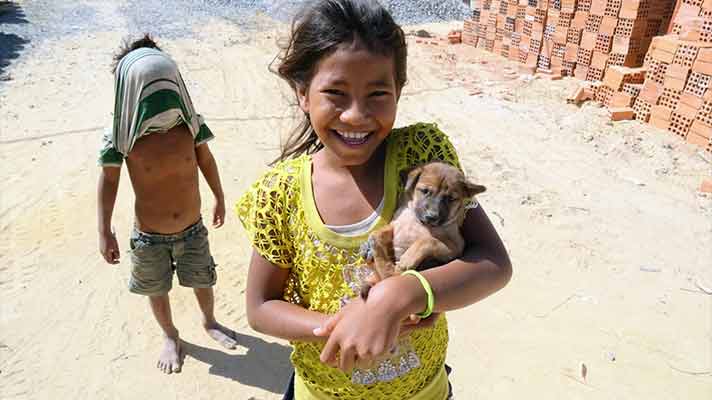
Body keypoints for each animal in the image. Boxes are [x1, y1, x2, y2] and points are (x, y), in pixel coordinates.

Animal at [358, 162, 486, 296]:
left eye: (451, 199)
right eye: (425, 191)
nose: (432, 216)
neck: (418, 222)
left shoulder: (455, 247)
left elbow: (428, 240)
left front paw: (408, 258)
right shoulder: (395, 225)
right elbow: (378, 233)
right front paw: (371, 243)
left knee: (389, 274)